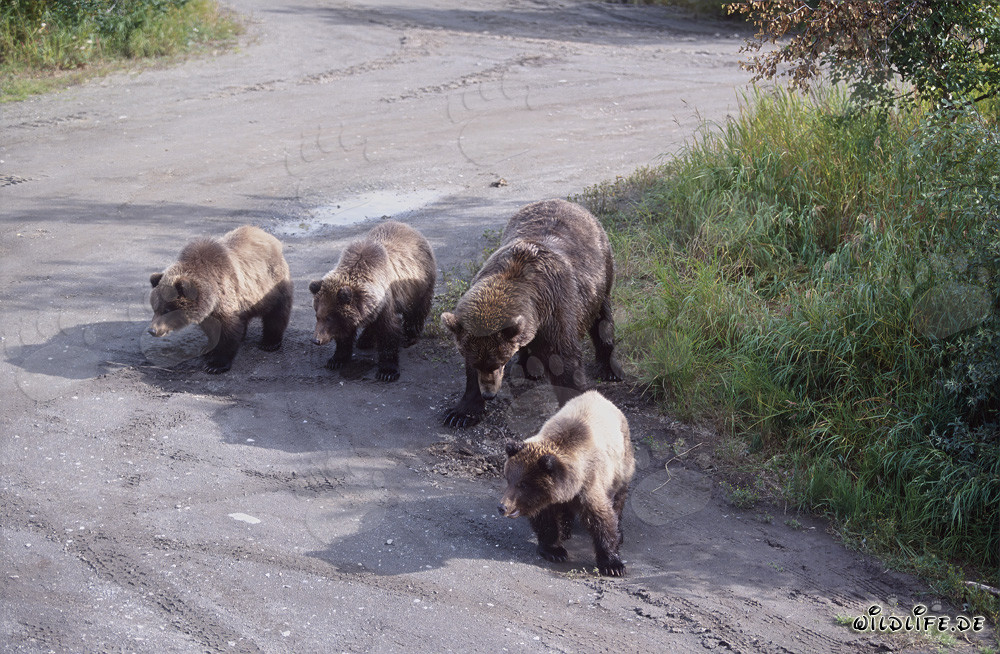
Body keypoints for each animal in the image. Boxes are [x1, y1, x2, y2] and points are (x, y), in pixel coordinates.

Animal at [148, 225, 293, 374]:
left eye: (167, 309)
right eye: (155, 308)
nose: (152, 330)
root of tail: (270, 237)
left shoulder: (225, 294)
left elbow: (227, 330)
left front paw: (215, 365)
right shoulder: (209, 312)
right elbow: (213, 330)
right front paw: (208, 350)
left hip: (272, 285)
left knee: (276, 314)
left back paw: (270, 342)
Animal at [309, 220, 436, 382]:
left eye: (329, 317)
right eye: (317, 316)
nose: (316, 340)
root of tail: (409, 228)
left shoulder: (385, 301)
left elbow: (388, 331)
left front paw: (387, 372)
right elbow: (345, 335)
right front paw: (336, 360)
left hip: (420, 284)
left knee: (417, 310)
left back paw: (409, 337)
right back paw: (364, 340)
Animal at [441, 198, 622, 427]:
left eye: (497, 362)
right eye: (480, 363)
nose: (489, 394)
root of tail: (565, 202)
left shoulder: (557, 311)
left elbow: (564, 362)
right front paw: (461, 412)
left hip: (601, 276)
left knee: (602, 322)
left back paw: (609, 368)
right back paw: (529, 365)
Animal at [498, 390, 635, 577]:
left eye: (523, 484)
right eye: (508, 479)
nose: (502, 507)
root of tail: (600, 396)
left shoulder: (590, 484)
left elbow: (601, 518)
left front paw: (613, 565)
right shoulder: (548, 498)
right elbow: (546, 520)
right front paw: (554, 550)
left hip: (621, 463)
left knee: (619, 496)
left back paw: (619, 530)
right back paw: (566, 528)